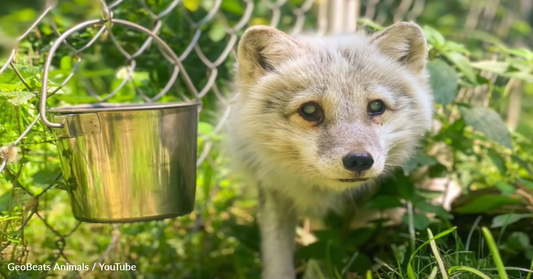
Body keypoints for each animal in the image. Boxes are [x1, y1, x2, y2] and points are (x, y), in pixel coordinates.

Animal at [224, 22, 432, 279]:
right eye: (310, 110)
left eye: (376, 106)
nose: (359, 160)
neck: (315, 190)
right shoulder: (273, 192)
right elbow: (277, 260)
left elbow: (322, 257)